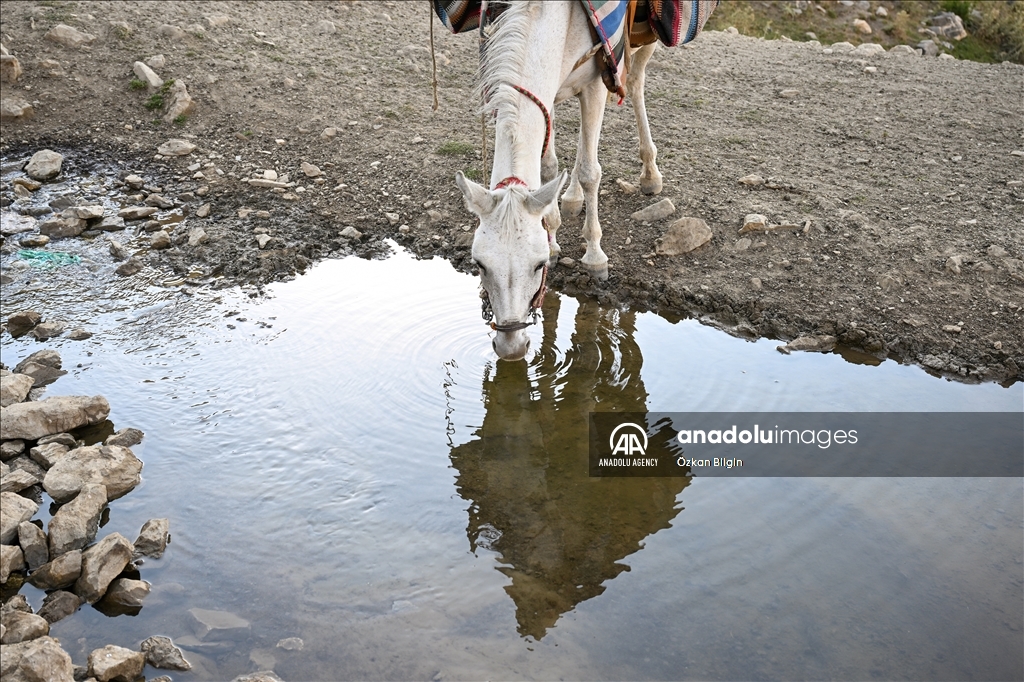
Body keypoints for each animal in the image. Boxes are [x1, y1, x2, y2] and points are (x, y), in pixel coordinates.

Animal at [452, 0, 659, 360]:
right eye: (479, 264)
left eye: (537, 266)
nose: (511, 346)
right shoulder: (548, 95)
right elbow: (548, 167)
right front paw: (553, 234)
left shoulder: (596, 83)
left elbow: (591, 171)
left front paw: (595, 256)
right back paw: (571, 197)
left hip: (642, 47)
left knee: (634, 82)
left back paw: (650, 173)